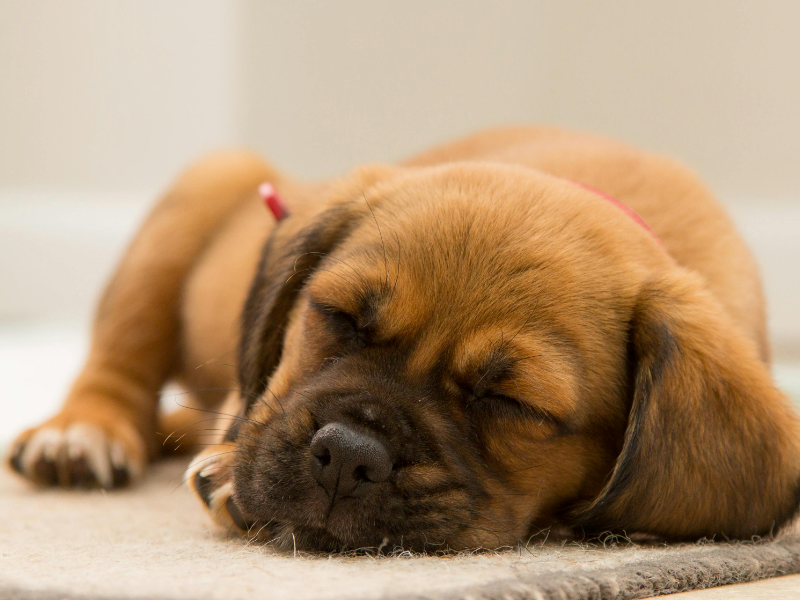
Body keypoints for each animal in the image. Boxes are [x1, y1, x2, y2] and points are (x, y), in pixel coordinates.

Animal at [7, 127, 800, 552]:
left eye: (511, 402)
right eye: (338, 317)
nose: (347, 456)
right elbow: (251, 402)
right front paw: (230, 463)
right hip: (198, 196)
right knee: (120, 363)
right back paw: (82, 432)